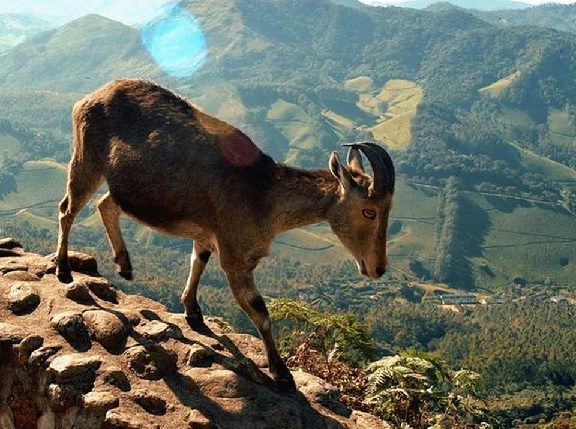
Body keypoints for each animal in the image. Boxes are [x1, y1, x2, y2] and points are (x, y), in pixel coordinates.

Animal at [55, 78, 396, 390]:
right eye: (369, 211)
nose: (378, 268)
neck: (264, 197)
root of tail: (91, 96)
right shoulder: (236, 258)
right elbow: (260, 312)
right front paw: (281, 373)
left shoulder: (209, 234)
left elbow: (198, 261)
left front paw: (193, 312)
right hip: (87, 159)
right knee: (67, 208)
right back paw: (63, 268)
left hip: (128, 188)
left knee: (106, 205)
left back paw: (124, 265)